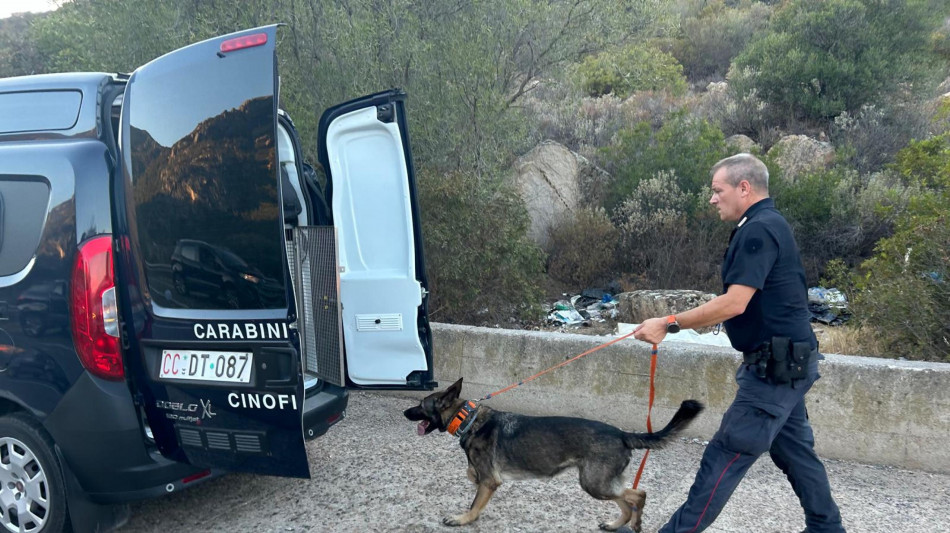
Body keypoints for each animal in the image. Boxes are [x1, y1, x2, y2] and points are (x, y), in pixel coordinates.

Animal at [406, 376, 704, 528]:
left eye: (420, 405)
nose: (405, 412)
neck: (467, 419)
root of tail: (621, 434)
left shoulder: (490, 481)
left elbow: (474, 503)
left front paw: (463, 519)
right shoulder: (484, 478)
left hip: (593, 483)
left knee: (638, 495)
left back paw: (636, 523)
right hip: (599, 483)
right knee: (626, 499)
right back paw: (616, 524)